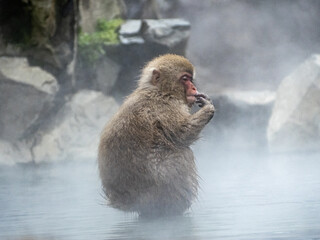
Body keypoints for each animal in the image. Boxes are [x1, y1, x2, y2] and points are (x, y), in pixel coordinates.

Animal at [97, 54, 215, 218]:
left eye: (191, 79)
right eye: (185, 79)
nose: (194, 88)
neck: (160, 90)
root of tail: (126, 202)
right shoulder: (166, 105)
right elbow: (181, 134)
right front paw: (208, 108)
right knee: (182, 153)